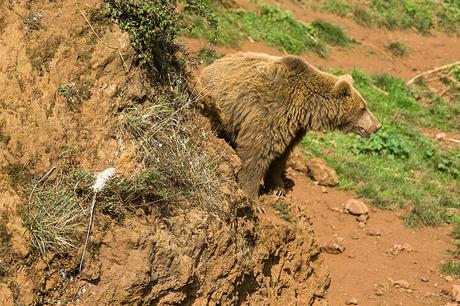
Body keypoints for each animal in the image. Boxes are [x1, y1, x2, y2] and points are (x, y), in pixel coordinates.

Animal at [199, 52, 382, 198]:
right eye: (363, 108)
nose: (378, 125)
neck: (306, 108)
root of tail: (212, 64)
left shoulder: (295, 128)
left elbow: (281, 155)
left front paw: (278, 187)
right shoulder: (270, 112)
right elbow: (256, 150)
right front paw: (251, 195)